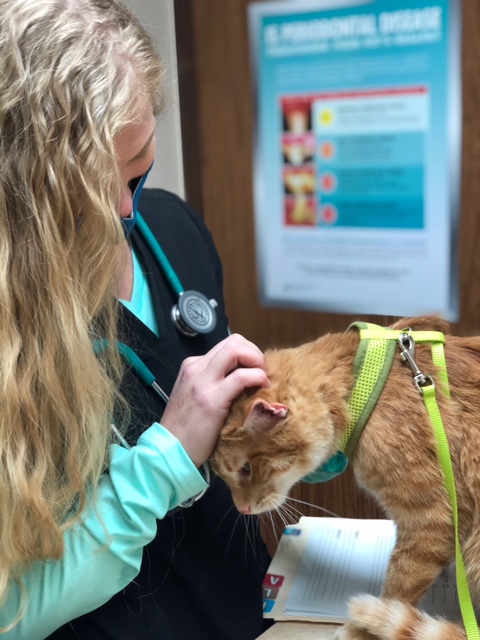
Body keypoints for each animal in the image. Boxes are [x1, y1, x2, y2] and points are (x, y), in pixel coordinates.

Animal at [210, 315, 480, 640]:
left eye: (245, 469)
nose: (242, 509)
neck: (362, 379)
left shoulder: (432, 520)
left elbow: (399, 584)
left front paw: (362, 629)